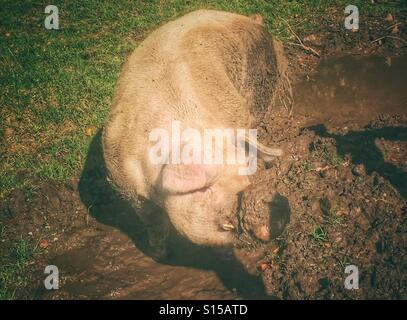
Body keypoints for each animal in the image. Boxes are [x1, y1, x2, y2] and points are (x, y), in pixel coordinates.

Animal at [102, 10, 288, 260]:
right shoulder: (126, 185)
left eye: (245, 174)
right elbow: (154, 222)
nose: (280, 208)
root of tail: (250, 19)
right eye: (203, 189)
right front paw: (158, 255)